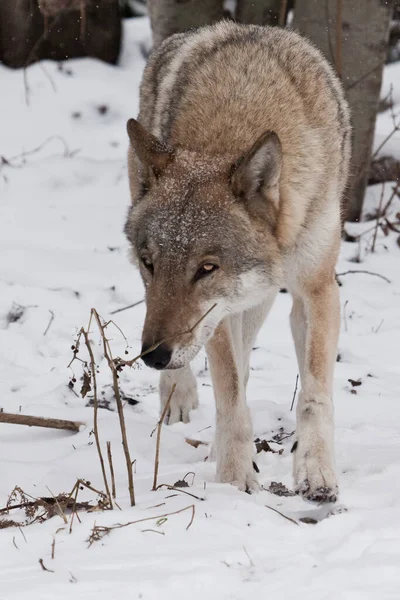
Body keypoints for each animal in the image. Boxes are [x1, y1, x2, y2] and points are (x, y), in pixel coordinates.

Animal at [124, 21, 350, 502]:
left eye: (206, 268)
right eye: (151, 262)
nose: (152, 356)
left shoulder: (317, 289)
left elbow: (314, 394)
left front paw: (316, 471)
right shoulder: (216, 314)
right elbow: (230, 395)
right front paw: (232, 479)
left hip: (259, 301)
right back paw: (178, 395)